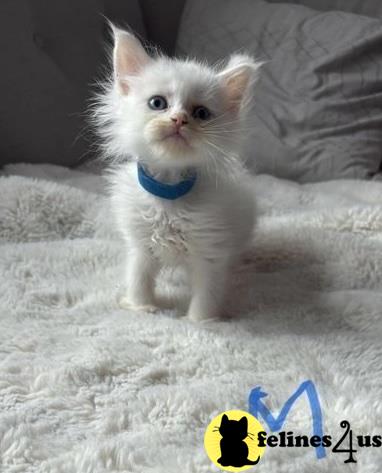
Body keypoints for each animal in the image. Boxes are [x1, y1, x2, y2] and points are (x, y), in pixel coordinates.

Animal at [94, 26, 262, 320]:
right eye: (157, 103)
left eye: (201, 113)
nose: (179, 120)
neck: (168, 192)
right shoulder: (140, 246)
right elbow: (138, 278)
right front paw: (141, 307)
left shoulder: (210, 251)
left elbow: (207, 293)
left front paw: (200, 322)